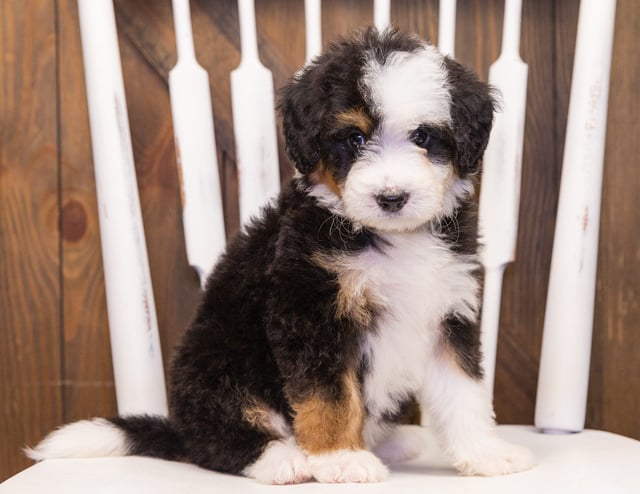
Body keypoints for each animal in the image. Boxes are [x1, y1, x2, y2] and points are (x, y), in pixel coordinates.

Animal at [26, 29, 536, 484]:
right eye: (353, 139)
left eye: (425, 138)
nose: (391, 198)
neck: (388, 236)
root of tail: (179, 428)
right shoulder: (311, 309)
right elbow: (329, 395)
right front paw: (339, 459)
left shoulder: (448, 312)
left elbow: (463, 390)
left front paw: (486, 453)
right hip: (218, 367)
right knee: (221, 440)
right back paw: (284, 459)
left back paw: (392, 441)